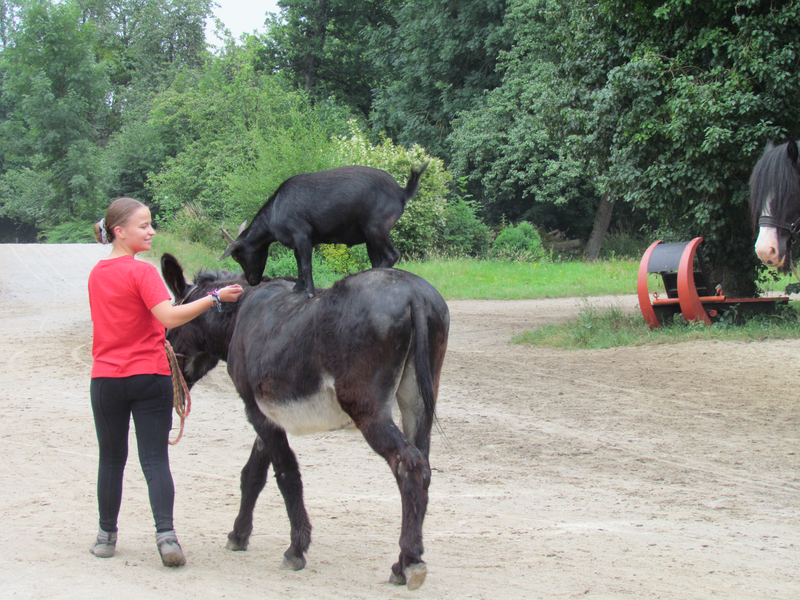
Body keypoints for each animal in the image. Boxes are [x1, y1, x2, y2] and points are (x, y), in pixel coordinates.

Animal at [161, 253, 450, 592]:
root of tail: (413, 294)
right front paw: (238, 535)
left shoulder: (256, 411)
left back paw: (411, 560)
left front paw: (296, 549)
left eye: (167, 331)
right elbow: (253, 475)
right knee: (424, 465)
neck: (238, 316)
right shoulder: (269, 416)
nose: (169, 388)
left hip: (367, 409)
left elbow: (286, 474)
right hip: (418, 401)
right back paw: (402, 562)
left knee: (409, 465)